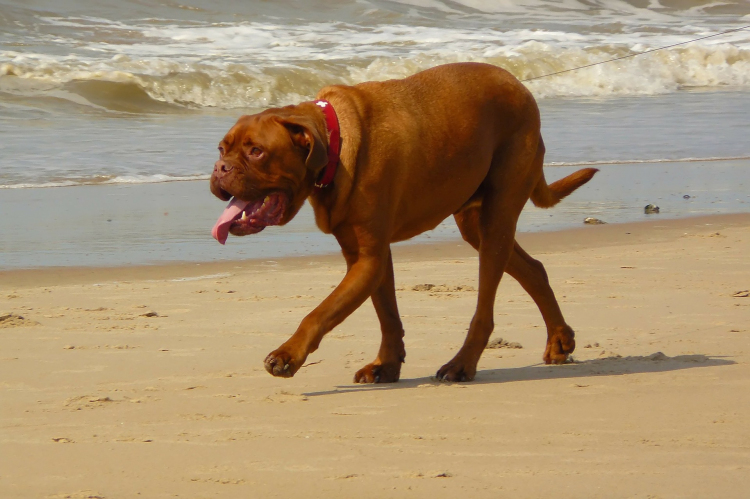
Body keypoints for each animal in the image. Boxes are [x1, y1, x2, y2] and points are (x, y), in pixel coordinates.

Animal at [210, 62, 600, 382]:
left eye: (256, 151)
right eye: (221, 149)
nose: (220, 168)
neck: (333, 144)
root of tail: (521, 87)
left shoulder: (368, 259)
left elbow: (320, 313)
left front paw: (288, 355)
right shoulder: (367, 257)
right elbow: (387, 315)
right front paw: (386, 364)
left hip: (498, 217)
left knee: (485, 308)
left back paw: (462, 364)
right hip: (475, 222)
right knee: (533, 269)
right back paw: (559, 340)